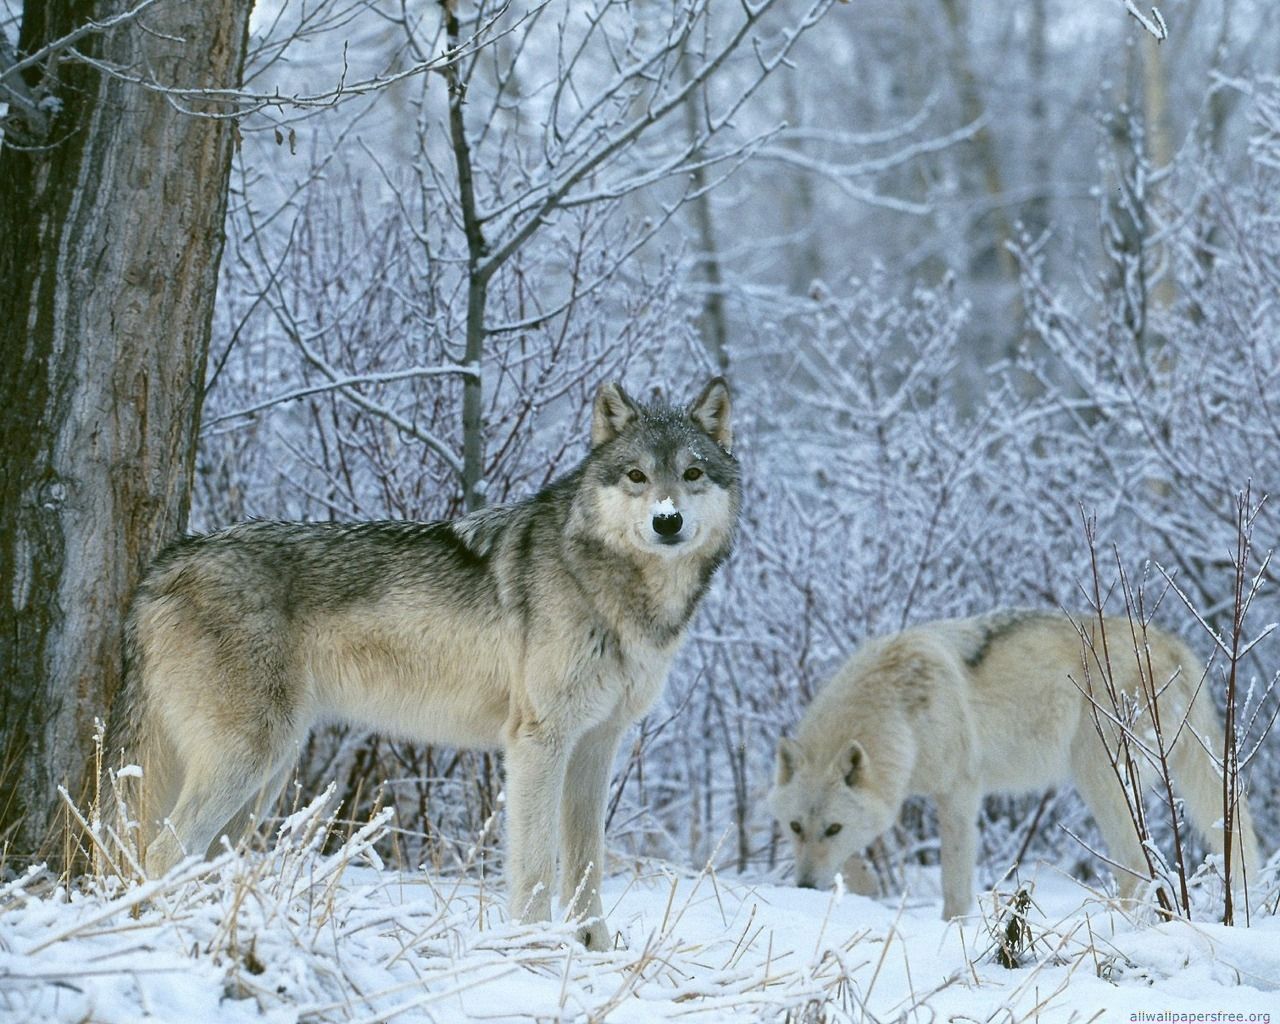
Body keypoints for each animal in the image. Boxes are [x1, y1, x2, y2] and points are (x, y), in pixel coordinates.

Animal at [106, 376, 740, 949]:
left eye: (692, 474)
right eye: (637, 476)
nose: (666, 521)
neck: (615, 590)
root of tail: (164, 565)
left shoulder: (595, 746)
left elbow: (587, 868)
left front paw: (593, 952)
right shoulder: (538, 741)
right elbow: (536, 866)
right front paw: (532, 951)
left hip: (266, 777)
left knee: (201, 857)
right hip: (251, 759)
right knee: (162, 848)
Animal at [768, 611, 1261, 918]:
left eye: (832, 828)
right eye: (795, 828)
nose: (804, 886)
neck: (899, 710)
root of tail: (1172, 644)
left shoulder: (959, 794)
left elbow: (954, 887)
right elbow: (859, 864)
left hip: (1099, 779)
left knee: (1137, 869)